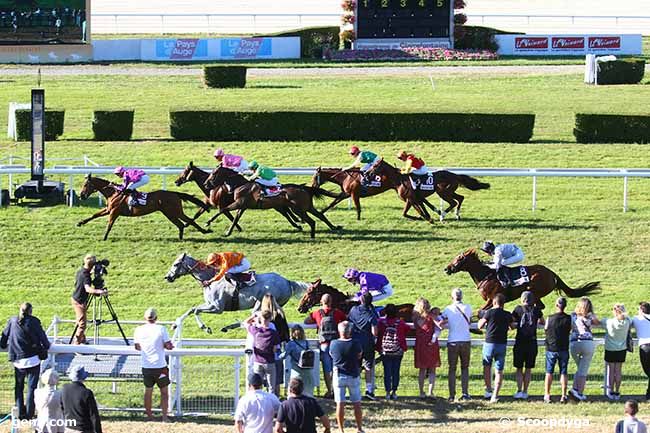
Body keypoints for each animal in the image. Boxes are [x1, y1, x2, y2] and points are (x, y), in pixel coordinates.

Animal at [77, 173, 210, 240]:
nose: (81, 196)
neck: (113, 193)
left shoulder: (114, 212)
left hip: (172, 211)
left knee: (186, 222)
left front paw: (104, 237)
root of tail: (174, 193)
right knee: (183, 223)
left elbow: (109, 225)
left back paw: (203, 231)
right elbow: (94, 215)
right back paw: (183, 237)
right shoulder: (108, 209)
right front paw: (80, 223)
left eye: (85, 185)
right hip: (171, 212)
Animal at [163, 251, 308, 332]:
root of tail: (287, 281)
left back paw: (230, 326)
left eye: (176, 264)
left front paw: (205, 328)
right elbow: (192, 309)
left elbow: (196, 310)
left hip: (261, 303)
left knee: (251, 317)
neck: (210, 279)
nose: (167, 277)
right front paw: (175, 325)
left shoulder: (217, 308)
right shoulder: (210, 304)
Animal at [205, 166, 342, 240]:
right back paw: (333, 227)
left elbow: (223, 210)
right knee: (320, 215)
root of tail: (303, 187)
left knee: (312, 221)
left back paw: (312, 235)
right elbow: (235, 219)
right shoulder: (242, 206)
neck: (241, 185)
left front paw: (208, 222)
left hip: (298, 209)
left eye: (213, 173)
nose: (206, 184)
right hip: (307, 207)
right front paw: (228, 232)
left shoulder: (239, 203)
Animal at [442, 248, 600, 312]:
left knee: (539, 305)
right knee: (540, 306)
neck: (486, 275)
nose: (447, 268)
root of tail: (552, 273)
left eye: (459, 258)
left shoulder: (491, 299)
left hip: (535, 290)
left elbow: (480, 311)